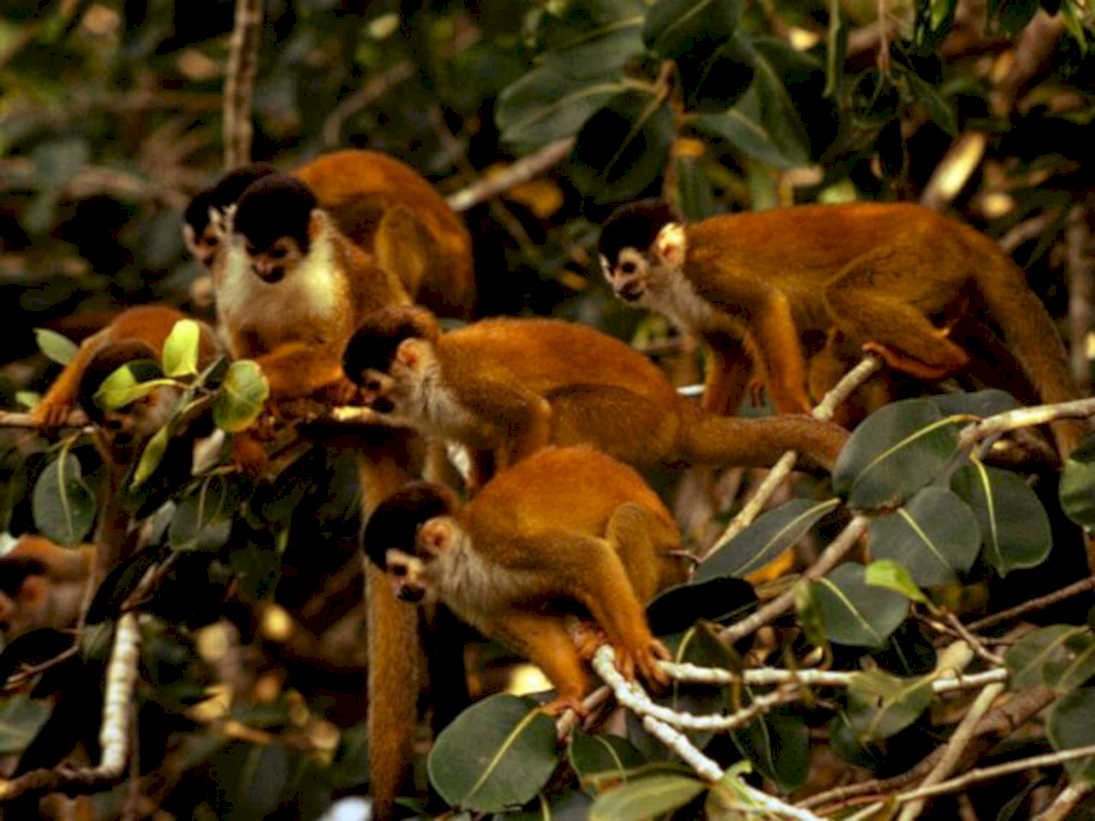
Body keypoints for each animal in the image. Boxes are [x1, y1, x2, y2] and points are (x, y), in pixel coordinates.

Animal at [341, 305, 848, 490]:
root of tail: (682, 413)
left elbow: (529, 413)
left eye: (371, 385)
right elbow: (480, 444)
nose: (367, 401)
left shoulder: (463, 382)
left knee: (563, 409)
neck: (428, 380)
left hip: (636, 422)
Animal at [362, 446, 692, 714]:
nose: (397, 591)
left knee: (628, 518)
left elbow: (590, 557)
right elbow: (533, 629)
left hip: (669, 562)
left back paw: (608, 633)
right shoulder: (468, 596)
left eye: (398, 571)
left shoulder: (498, 543)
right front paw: (571, 692)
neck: (464, 560)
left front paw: (637, 646)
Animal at [598, 199, 1089, 457]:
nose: (620, 287)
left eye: (628, 267)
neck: (673, 275)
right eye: (611, 270)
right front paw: (704, 424)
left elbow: (764, 304)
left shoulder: (707, 272)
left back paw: (943, 361)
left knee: (843, 296)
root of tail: (948, 227)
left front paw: (793, 406)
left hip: (920, 258)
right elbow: (728, 352)